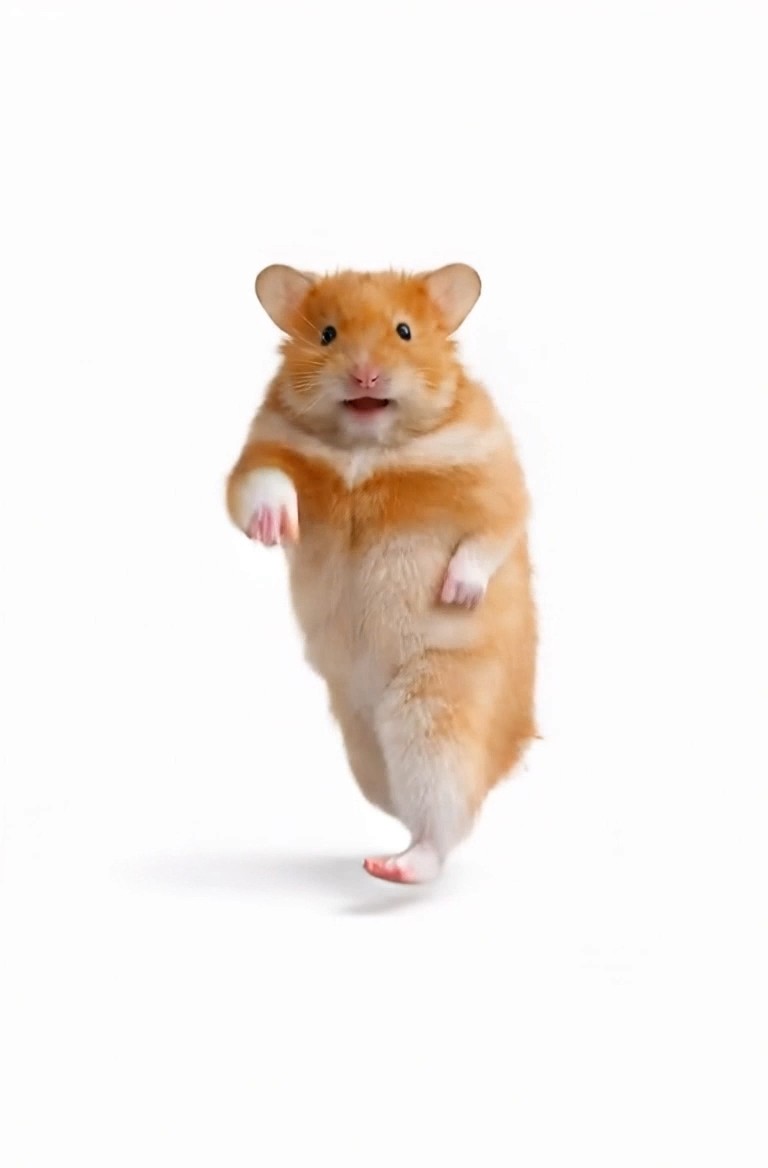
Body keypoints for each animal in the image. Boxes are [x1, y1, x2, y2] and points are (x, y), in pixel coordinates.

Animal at [226, 263, 537, 884]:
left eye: (404, 331)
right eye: (326, 334)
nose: (366, 375)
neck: (367, 449)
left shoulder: (497, 474)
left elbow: (491, 531)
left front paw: (457, 593)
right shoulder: (259, 453)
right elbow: (260, 487)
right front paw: (277, 528)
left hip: (435, 714)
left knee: (442, 825)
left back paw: (396, 867)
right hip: (361, 743)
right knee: (399, 804)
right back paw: (381, 853)